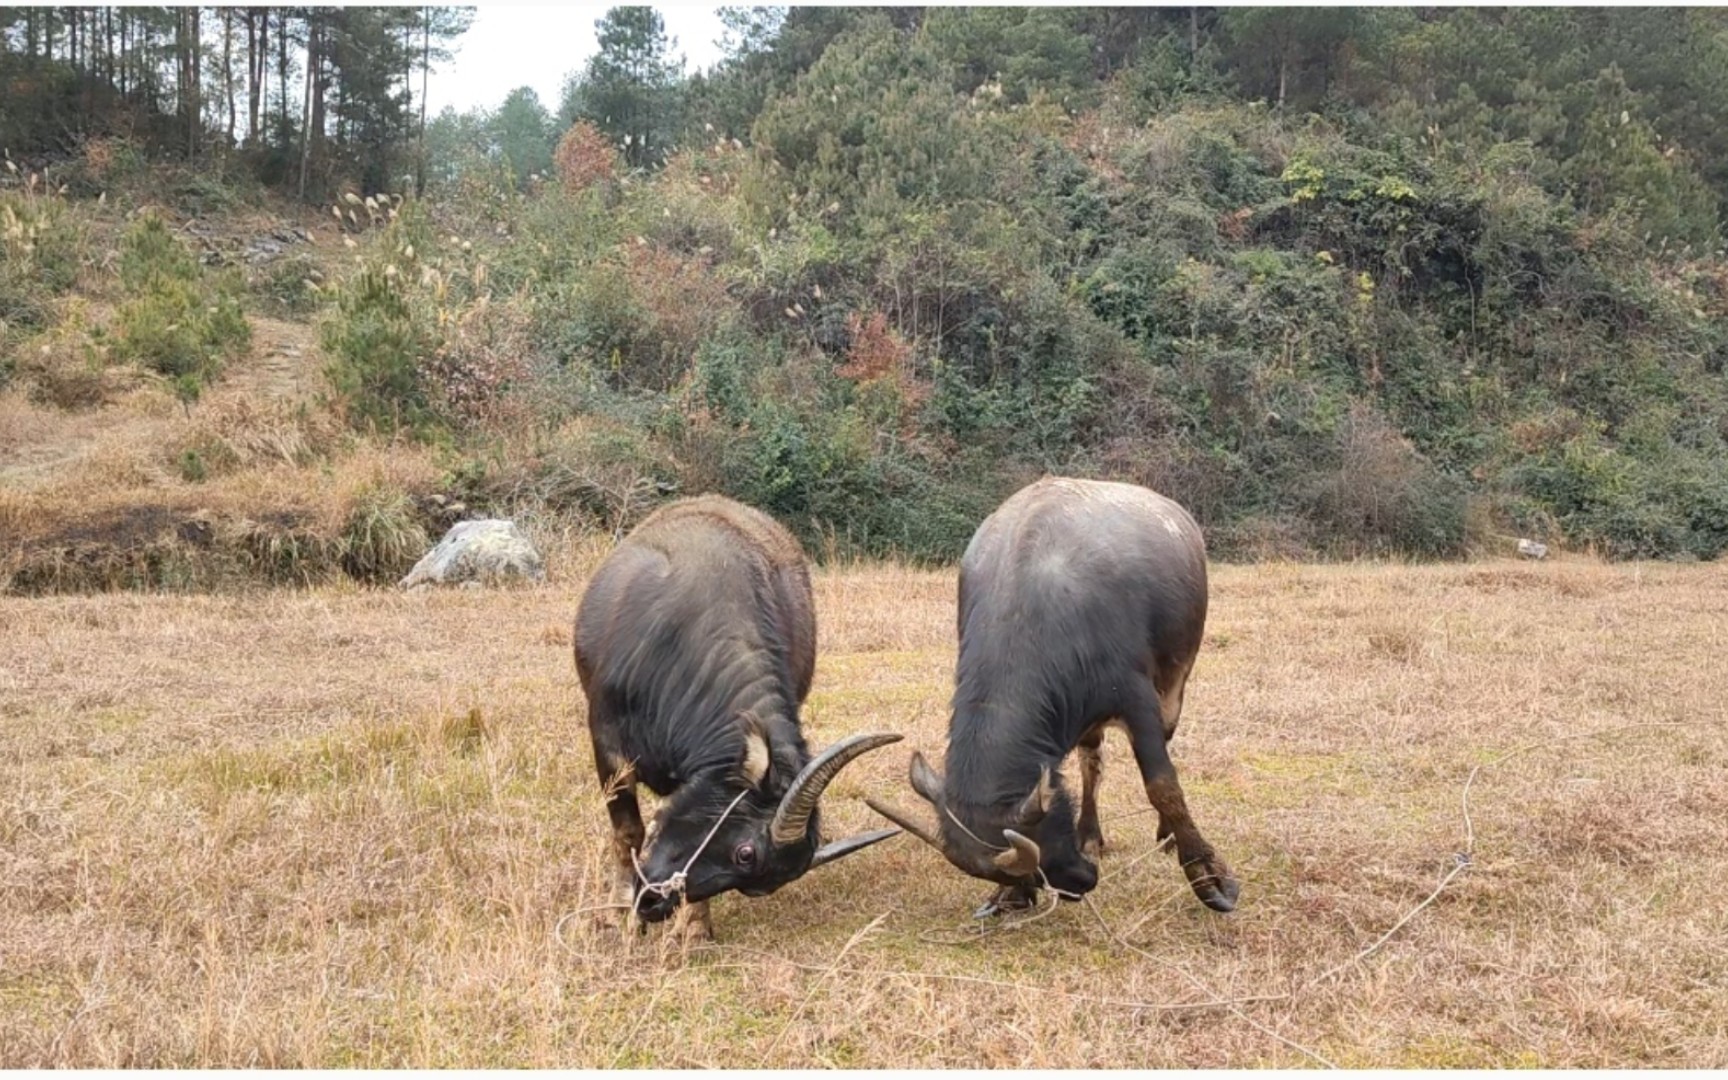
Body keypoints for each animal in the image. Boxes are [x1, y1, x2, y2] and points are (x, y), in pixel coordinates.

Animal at [580, 494, 905, 933]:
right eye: (746, 853)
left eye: (753, 879)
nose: (651, 904)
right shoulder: (608, 746)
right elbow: (628, 831)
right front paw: (618, 915)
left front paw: (694, 926)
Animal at [870, 480, 1237, 919]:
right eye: (1031, 873)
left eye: (1041, 841)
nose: (1078, 885)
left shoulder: (1137, 699)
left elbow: (1163, 784)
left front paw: (1207, 875)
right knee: (1091, 762)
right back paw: (1091, 834)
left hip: (1175, 682)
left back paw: (1166, 835)